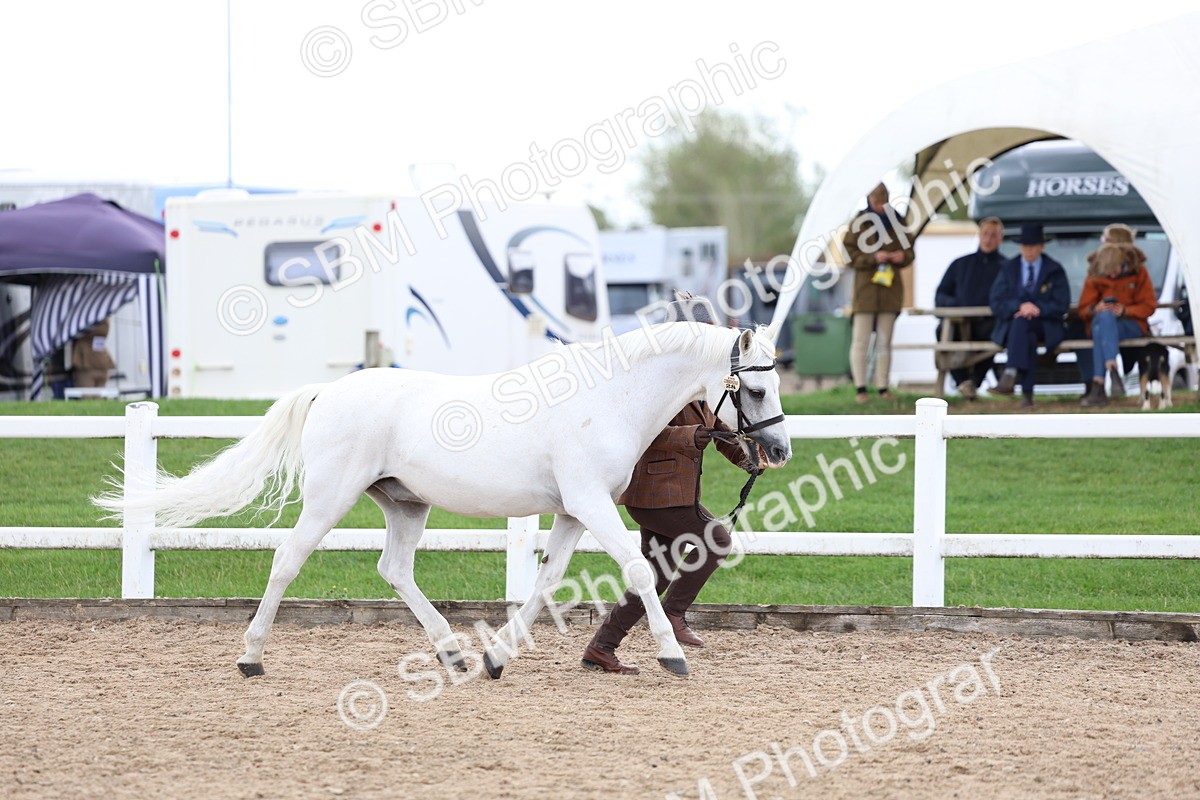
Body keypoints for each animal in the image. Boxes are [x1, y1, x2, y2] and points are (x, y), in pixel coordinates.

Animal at [94, 322, 792, 679]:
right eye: (756, 390)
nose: (779, 451)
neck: (605, 401)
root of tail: (328, 391)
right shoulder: (591, 503)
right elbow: (639, 570)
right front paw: (673, 655)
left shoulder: (571, 511)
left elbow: (547, 583)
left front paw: (497, 658)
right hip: (329, 498)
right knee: (287, 562)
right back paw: (251, 657)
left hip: (405, 505)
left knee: (394, 569)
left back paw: (452, 650)